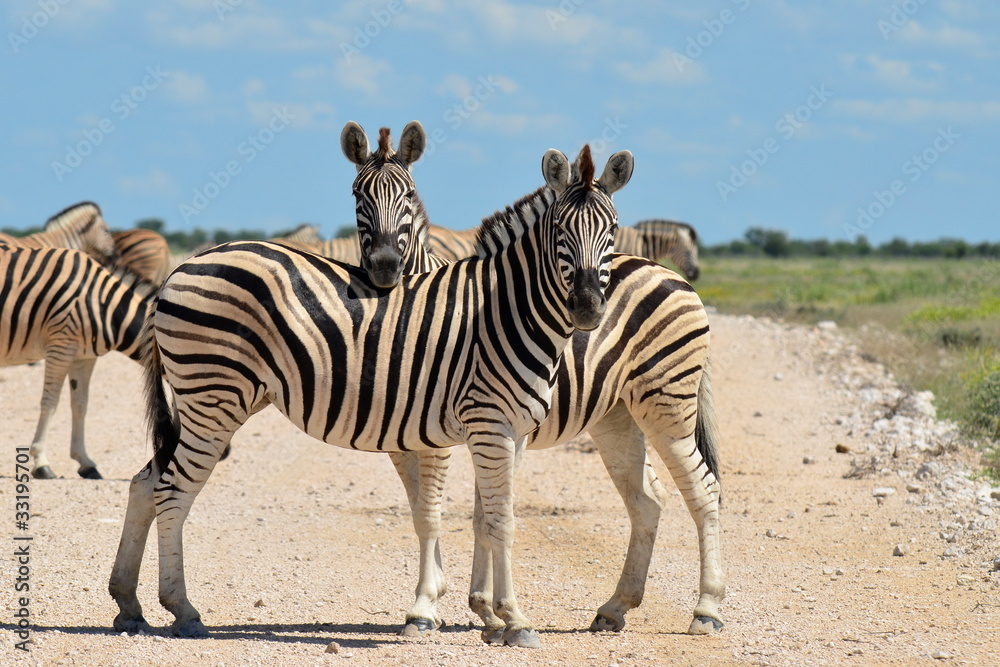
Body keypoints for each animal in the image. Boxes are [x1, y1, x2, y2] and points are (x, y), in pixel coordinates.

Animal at [0, 245, 157, 480]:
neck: (105, 305)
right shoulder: (61, 345)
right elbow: (50, 402)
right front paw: (41, 463)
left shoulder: (84, 356)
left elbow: (80, 404)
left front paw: (85, 462)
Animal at [107, 142, 632, 648]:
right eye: (560, 231)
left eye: (612, 230)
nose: (588, 308)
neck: (508, 310)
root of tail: (182, 267)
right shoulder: (489, 424)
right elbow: (501, 520)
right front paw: (515, 621)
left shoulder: (514, 431)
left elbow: (487, 518)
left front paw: (492, 617)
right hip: (213, 397)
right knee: (173, 492)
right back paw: (183, 610)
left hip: (205, 400)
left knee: (146, 483)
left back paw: (129, 605)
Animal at [340, 122, 724, 640]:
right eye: (357, 194)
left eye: (409, 195)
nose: (383, 267)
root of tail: (670, 273)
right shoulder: (420, 436)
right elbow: (448, 511)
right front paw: (476, 608)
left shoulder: (459, 432)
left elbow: (453, 512)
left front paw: (435, 607)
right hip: (617, 417)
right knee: (648, 500)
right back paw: (615, 607)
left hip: (667, 403)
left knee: (703, 491)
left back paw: (706, 609)